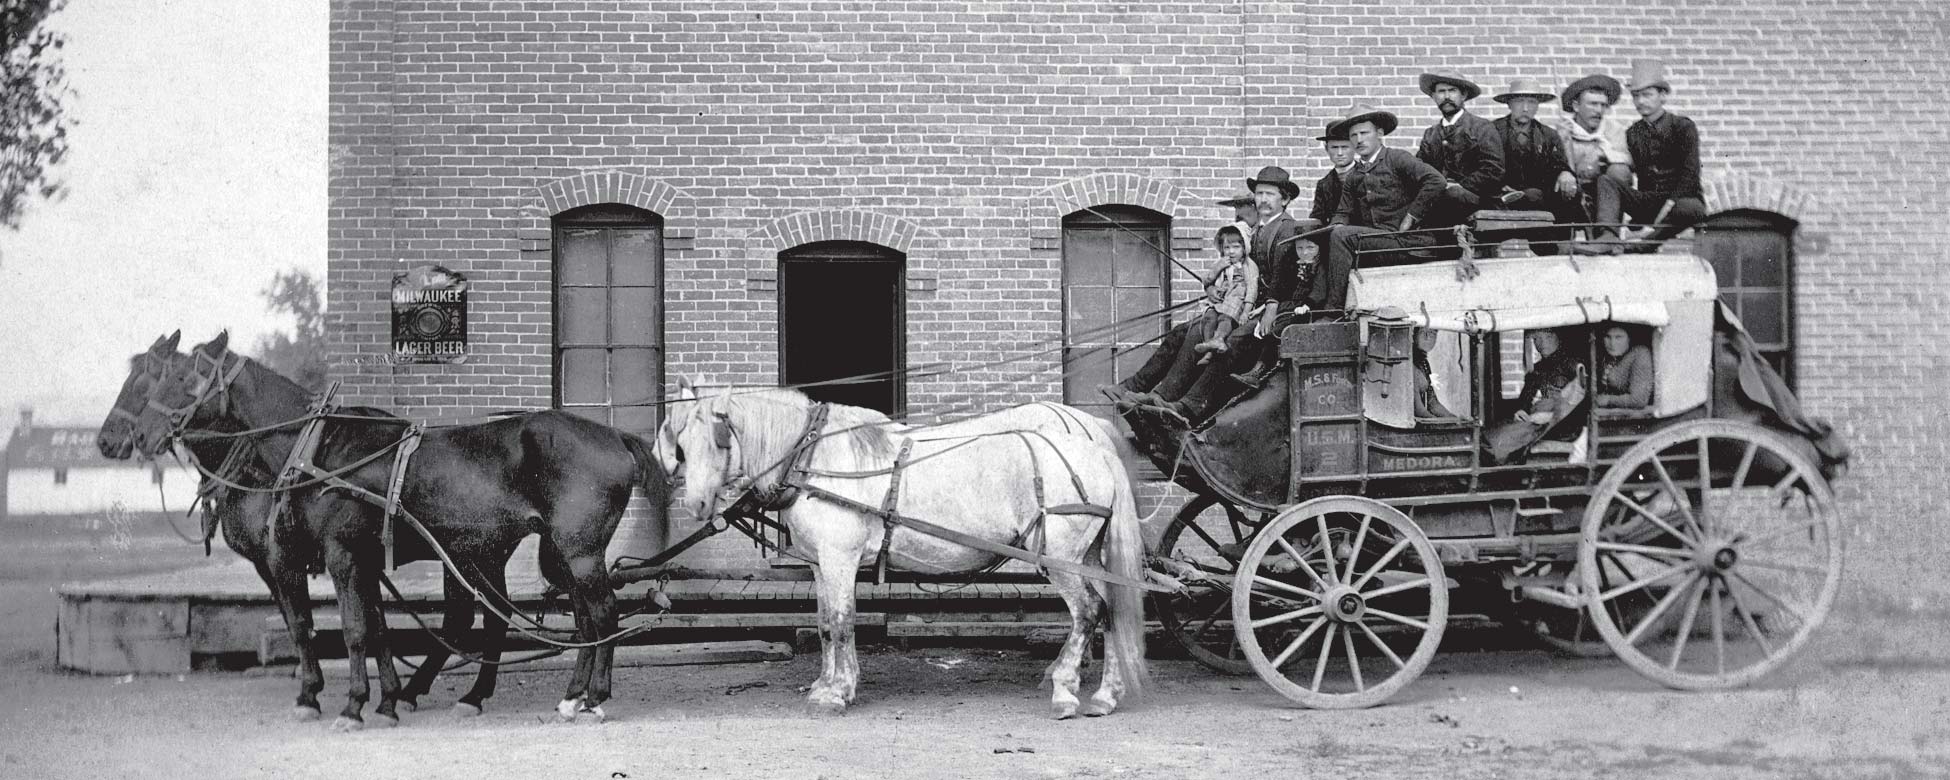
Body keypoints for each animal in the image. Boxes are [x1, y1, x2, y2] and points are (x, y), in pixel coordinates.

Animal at [123, 331, 670, 729]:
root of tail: (613, 434)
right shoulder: (364, 559)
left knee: (603, 615)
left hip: (578, 551)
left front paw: (350, 705)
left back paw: (593, 698)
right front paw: (385, 701)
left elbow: (351, 630)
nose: (138, 436)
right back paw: (570, 697)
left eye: (182, 377)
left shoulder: (337, 554)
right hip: (562, 551)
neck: (321, 449)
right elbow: (379, 629)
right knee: (583, 621)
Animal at [663, 384, 1146, 717]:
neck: (813, 455)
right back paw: (1105, 695)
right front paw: (827, 685)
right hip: (1088, 556)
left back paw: (1065, 689)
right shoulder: (822, 564)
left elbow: (842, 622)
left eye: (720, 440)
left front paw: (837, 693)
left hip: (1061, 559)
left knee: (1088, 612)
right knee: (1111, 610)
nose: (697, 505)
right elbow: (825, 624)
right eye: (682, 446)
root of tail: (1095, 448)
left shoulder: (839, 558)